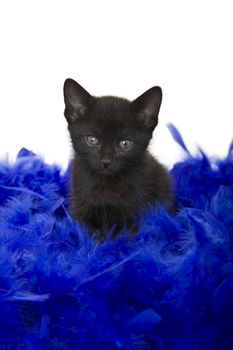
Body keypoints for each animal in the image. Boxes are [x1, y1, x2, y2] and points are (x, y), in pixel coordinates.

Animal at [62, 79, 174, 238]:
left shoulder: (133, 213)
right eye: (91, 140)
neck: (106, 185)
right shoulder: (81, 206)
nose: (106, 161)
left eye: (125, 143)